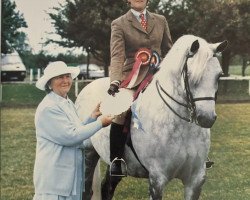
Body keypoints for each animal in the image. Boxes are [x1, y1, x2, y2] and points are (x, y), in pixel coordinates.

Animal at [75, 35, 228, 199]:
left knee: (107, 187)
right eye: (190, 76)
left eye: (219, 75)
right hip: (88, 153)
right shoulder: (157, 179)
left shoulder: (195, 180)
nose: (206, 118)